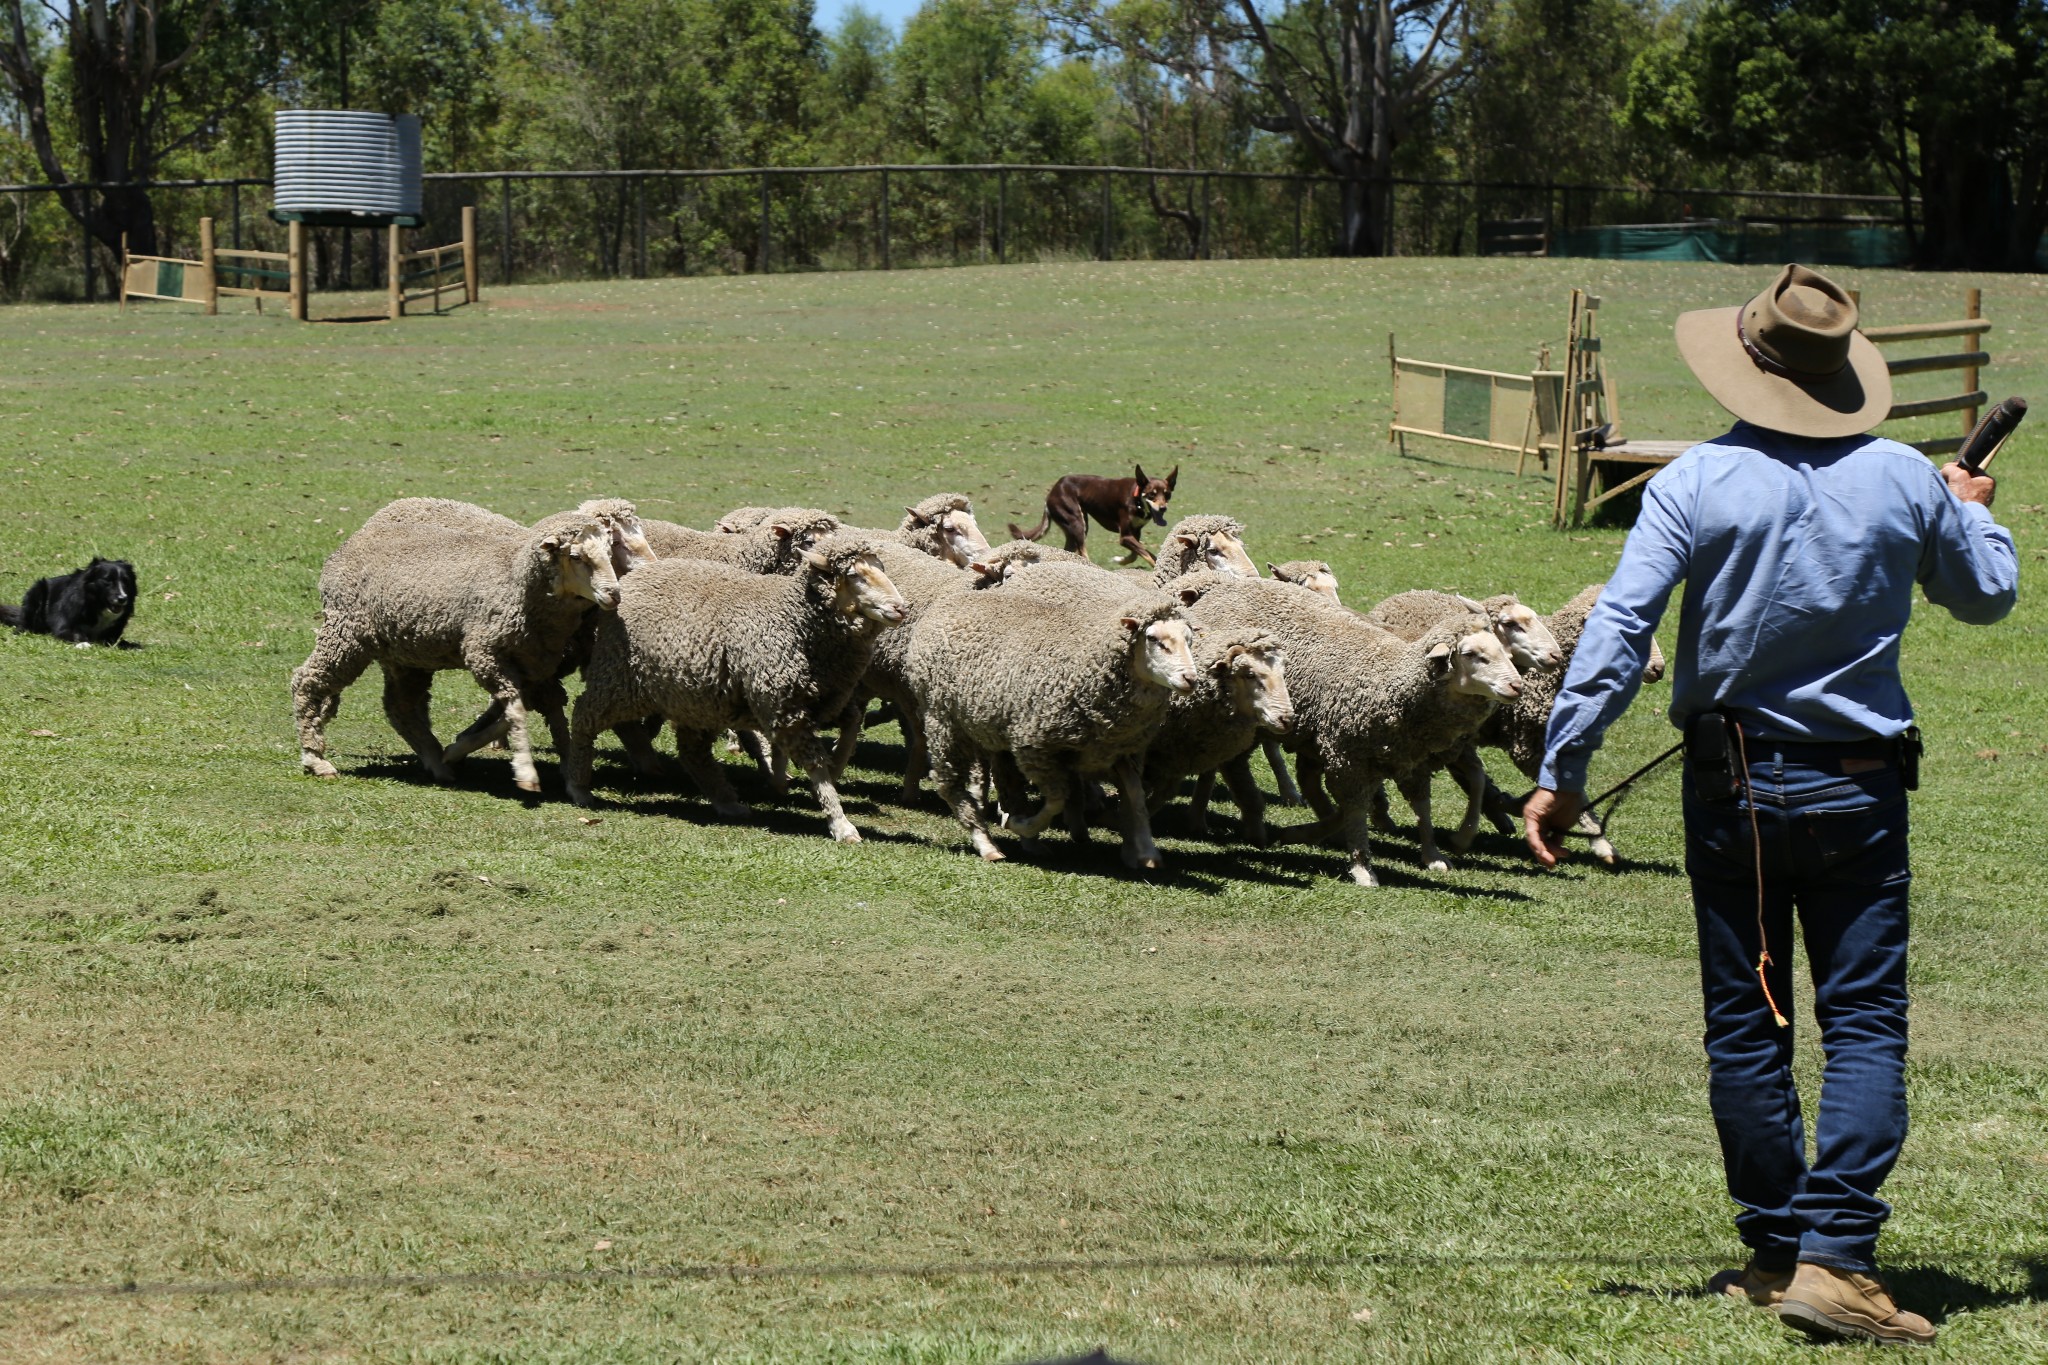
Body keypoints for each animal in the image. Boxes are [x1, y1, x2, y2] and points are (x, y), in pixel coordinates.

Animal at [290, 507, 614, 794]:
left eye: (610, 554)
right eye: (575, 556)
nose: (614, 594)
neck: (513, 576)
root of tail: (346, 546)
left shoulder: (536, 665)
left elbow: (536, 709)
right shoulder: (485, 654)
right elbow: (518, 710)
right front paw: (526, 772)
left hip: (405, 653)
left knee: (399, 706)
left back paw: (437, 762)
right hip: (347, 635)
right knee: (306, 681)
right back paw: (315, 758)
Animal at [565, 532, 909, 843]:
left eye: (881, 568)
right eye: (853, 576)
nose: (901, 608)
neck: (797, 621)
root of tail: (632, 579)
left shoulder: (822, 698)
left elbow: (851, 725)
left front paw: (830, 765)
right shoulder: (786, 704)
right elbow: (814, 764)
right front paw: (840, 823)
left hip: (696, 697)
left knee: (692, 751)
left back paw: (727, 801)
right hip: (620, 679)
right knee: (583, 716)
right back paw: (578, 785)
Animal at [913, 564, 1196, 863]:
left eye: (1189, 640)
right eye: (1153, 639)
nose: (1191, 679)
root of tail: (948, 602)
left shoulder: (1117, 750)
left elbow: (1136, 796)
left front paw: (1146, 851)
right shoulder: (1036, 747)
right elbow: (1058, 799)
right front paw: (1020, 825)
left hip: (991, 730)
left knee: (1007, 783)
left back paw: (1025, 840)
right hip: (942, 717)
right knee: (949, 782)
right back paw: (987, 843)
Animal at [1011, 462, 1179, 564]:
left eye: (1167, 494)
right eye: (1151, 494)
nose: (1163, 508)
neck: (1136, 498)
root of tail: (1051, 493)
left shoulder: (1135, 532)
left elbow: (1135, 554)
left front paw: (1119, 560)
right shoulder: (1125, 536)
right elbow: (1147, 553)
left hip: (1076, 525)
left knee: (1070, 550)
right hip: (1077, 522)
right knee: (1082, 551)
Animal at [1171, 568, 1523, 879]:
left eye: (1500, 649)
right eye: (1472, 654)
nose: (1517, 685)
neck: (1392, 682)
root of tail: (1219, 589)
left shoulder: (1407, 758)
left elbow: (1420, 807)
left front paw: (1433, 855)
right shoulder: (1347, 755)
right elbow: (1355, 807)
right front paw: (1362, 867)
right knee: (1231, 765)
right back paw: (1235, 822)